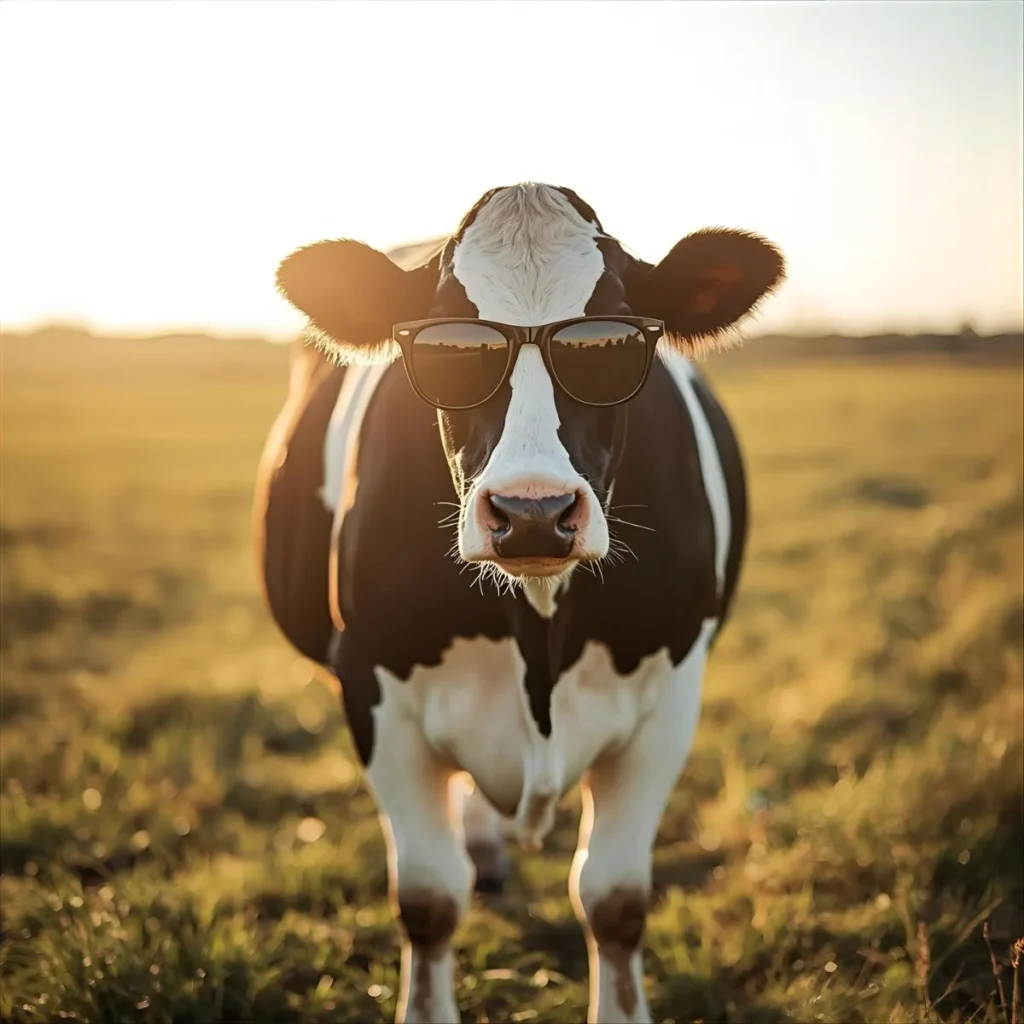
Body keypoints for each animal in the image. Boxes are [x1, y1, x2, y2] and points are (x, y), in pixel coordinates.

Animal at [253, 182, 785, 1024]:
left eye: (610, 341)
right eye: (447, 344)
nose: (533, 511)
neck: (538, 628)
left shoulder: (670, 693)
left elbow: (615, 900)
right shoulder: (370, 681)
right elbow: (428, 899)